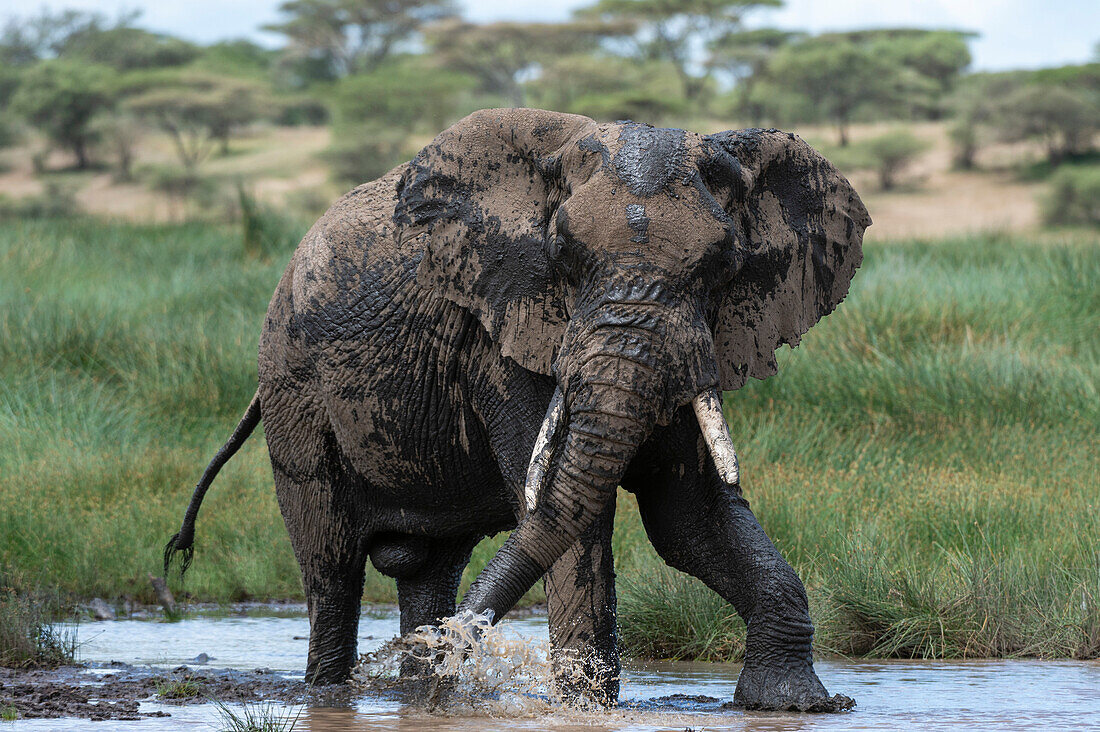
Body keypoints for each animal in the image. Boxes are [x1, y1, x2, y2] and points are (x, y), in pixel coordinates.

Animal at [165, 107, 866, 708]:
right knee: (330, 564)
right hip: (292, 380)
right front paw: (586, 708)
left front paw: (797, 704)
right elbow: (578, 516)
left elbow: (689, 518)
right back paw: (337, 692)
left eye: (721, 265)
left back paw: (425, 687)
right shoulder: (502, 333)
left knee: (428, 569)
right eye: (565, 258)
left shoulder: (702, 343)